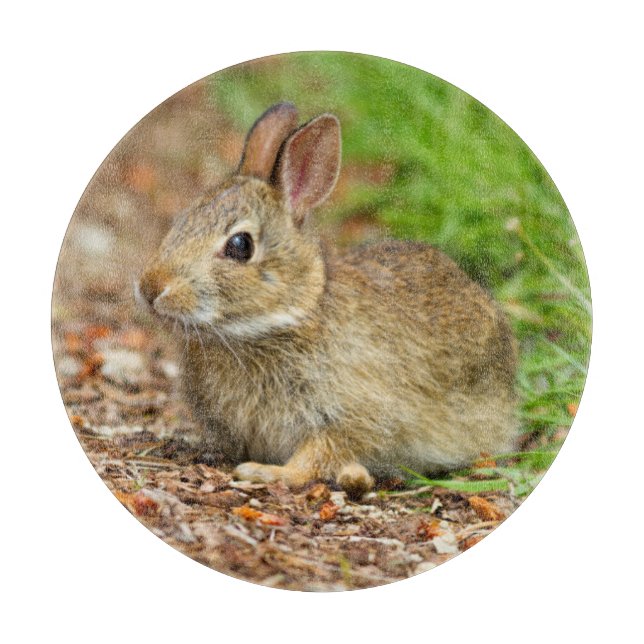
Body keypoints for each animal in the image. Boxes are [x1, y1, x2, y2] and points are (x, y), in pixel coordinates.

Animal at [137, 102, 518, 497]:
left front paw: (265, 473)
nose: (151, 288)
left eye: (240, 245)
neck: (287, 317)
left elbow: (318, 453)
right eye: (182, 220)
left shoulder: (350, 416)